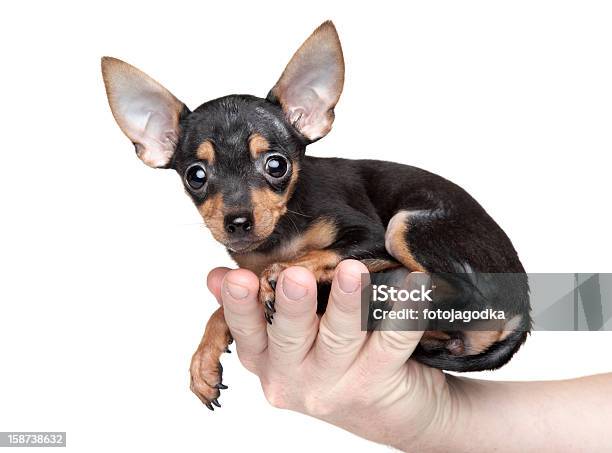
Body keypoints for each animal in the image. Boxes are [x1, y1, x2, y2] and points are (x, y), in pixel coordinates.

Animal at [101, 22, 532, 410]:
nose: (237, 221)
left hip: (404, 226)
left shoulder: (370, 237)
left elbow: (313, 255)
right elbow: (224, 305)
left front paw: (279, 272)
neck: (280, 235)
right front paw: (205, 358)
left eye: (276, 165)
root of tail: (523, 311)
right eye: (196, 176)